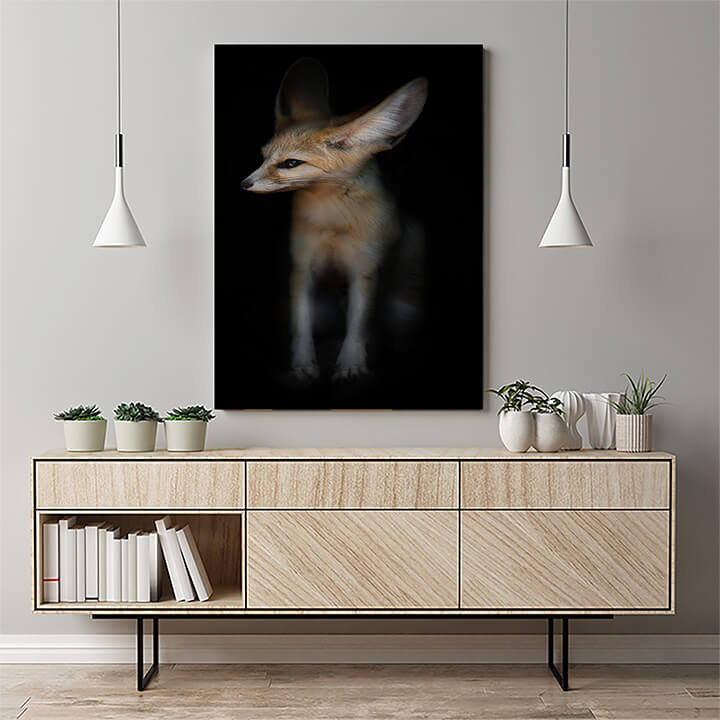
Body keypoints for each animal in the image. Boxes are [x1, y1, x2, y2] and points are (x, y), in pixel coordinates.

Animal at [241, 58, 428, 380]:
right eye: (263, 156)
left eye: (290, 163)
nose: (244, 184)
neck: (333, 224)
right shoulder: (302, 268)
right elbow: (301, 326)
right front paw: (303, 364)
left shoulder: (365, 270)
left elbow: (358, 327)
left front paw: (351, 364)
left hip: (402, 309)